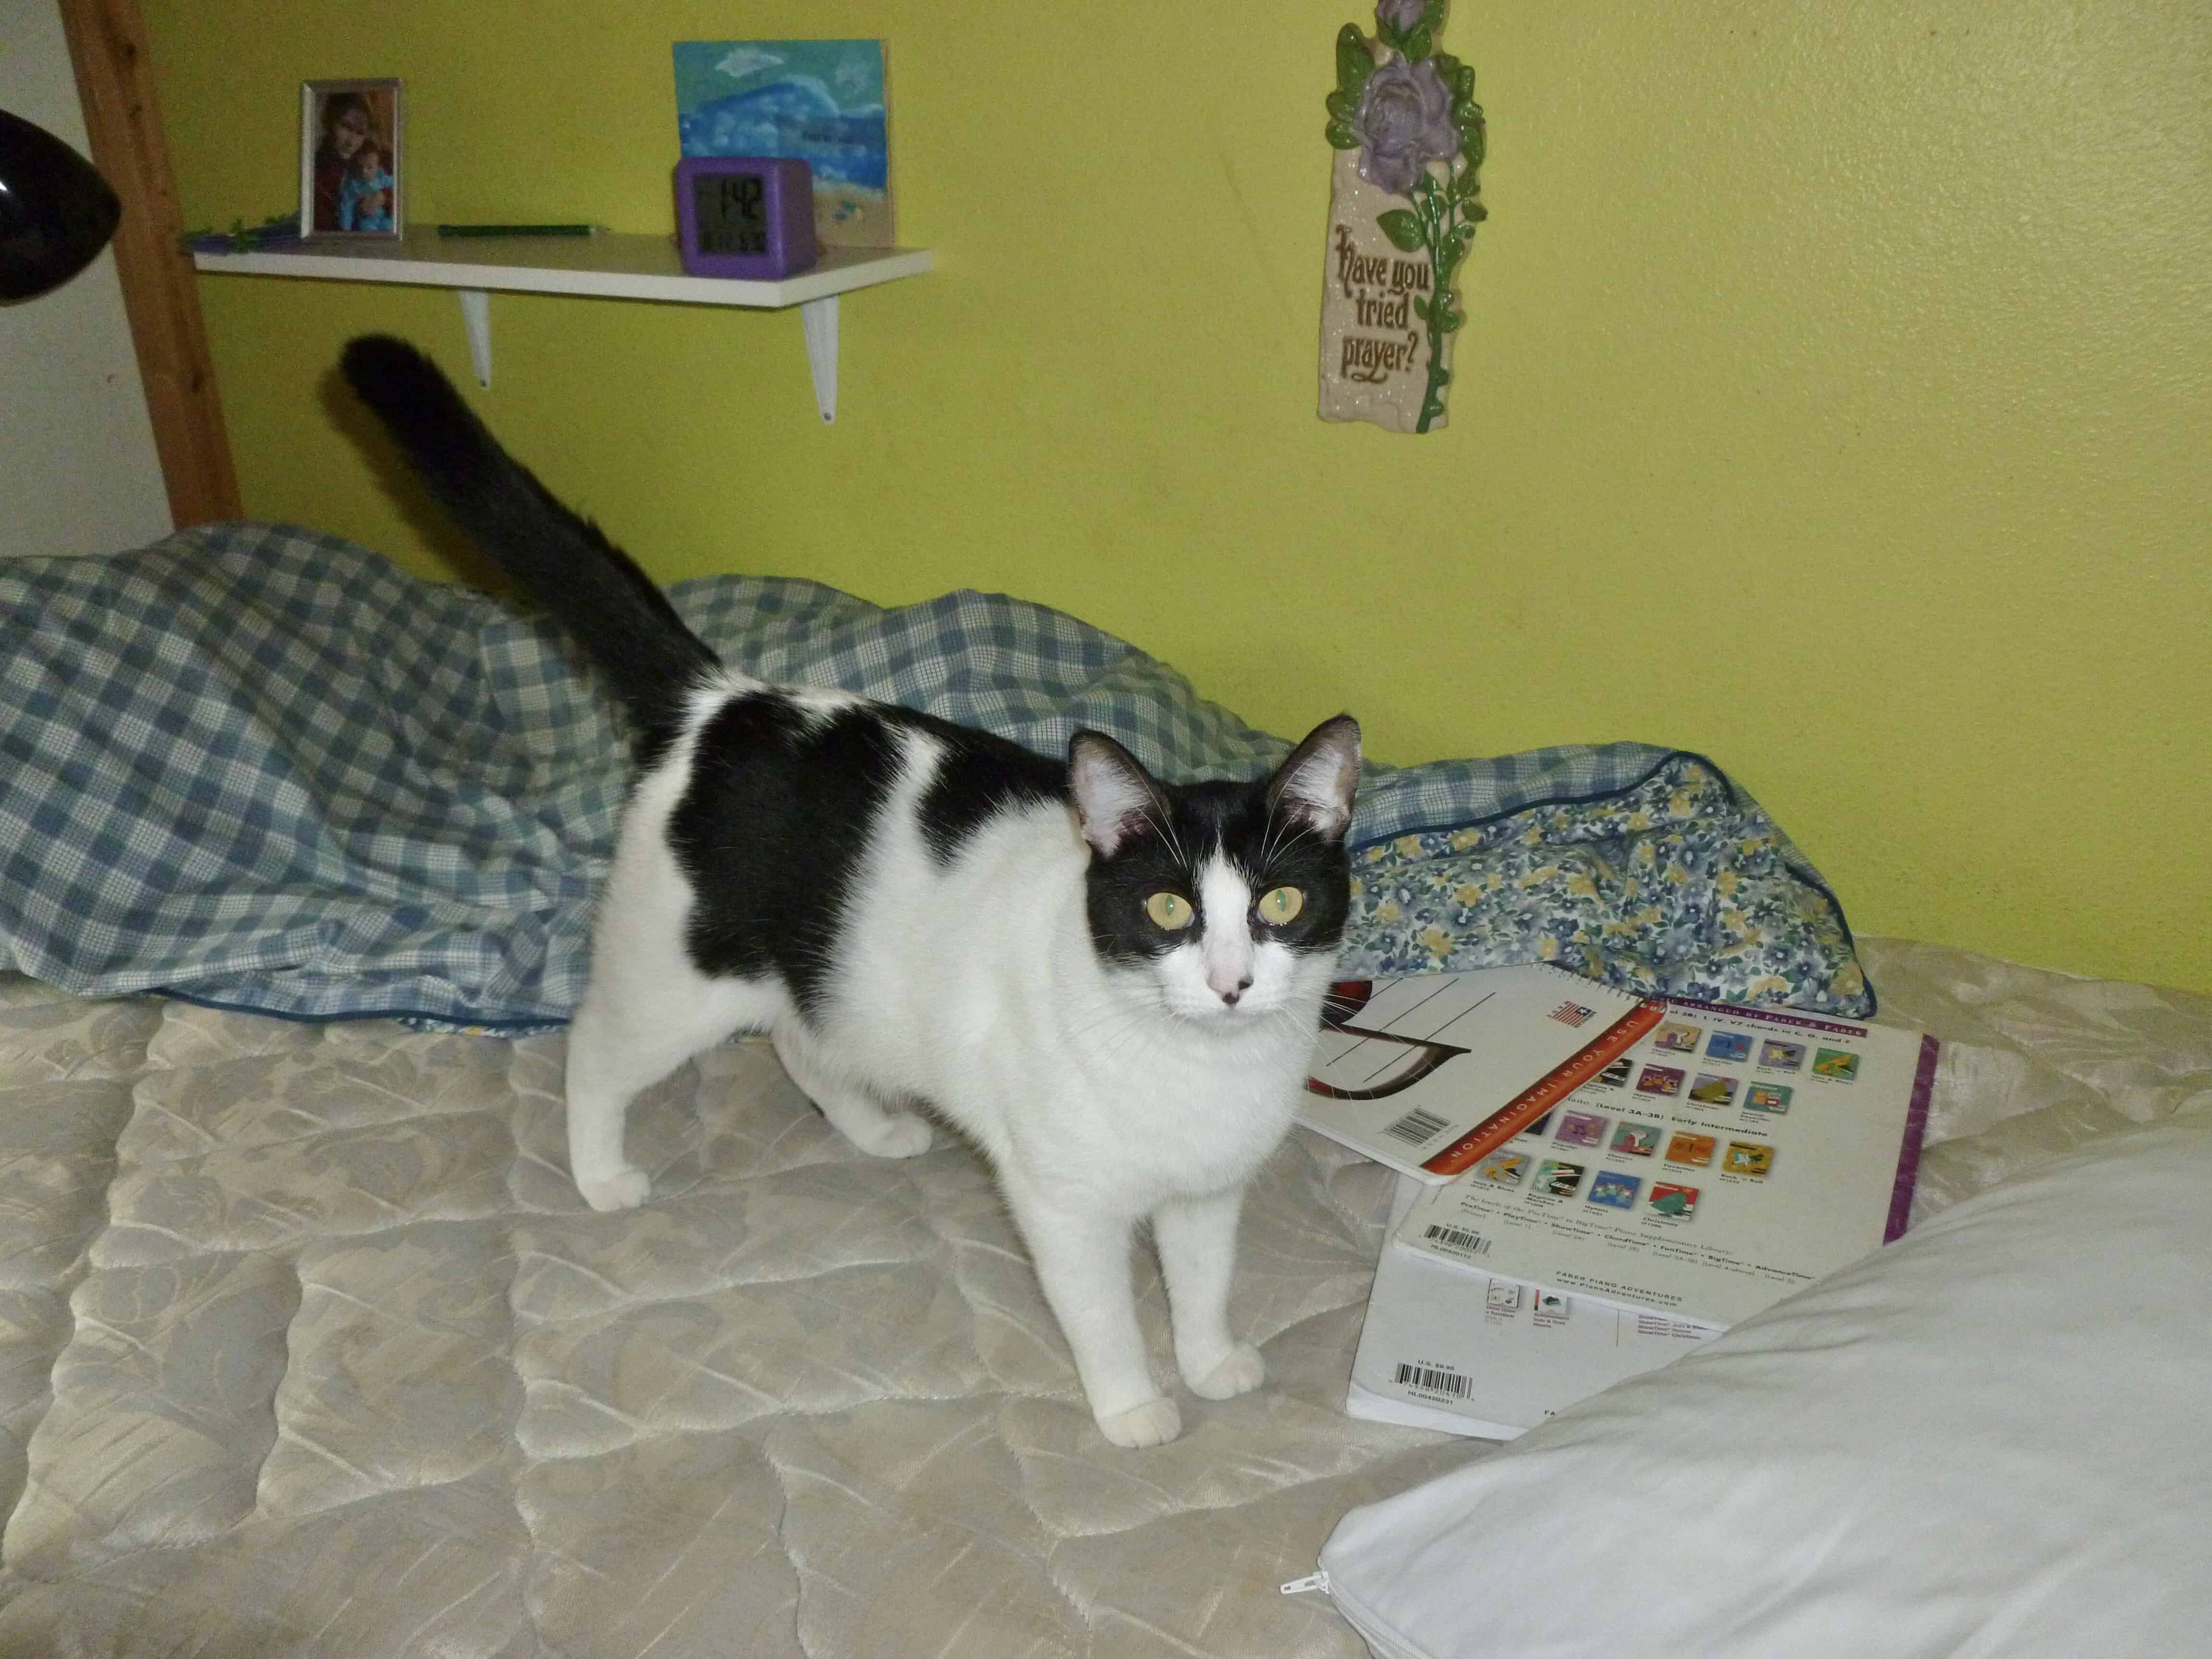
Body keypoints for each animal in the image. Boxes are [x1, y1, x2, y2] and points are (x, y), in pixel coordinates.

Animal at [340, 340, 1362, 1451]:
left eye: (1279, 906)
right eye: (1170, 909)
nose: (1230, 983)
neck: (1194, 1068)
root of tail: (727, 701)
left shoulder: (1207, 1193)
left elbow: (1203, 1280)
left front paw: (1209, 1360)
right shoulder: (1065, 1204)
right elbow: (1104, 1316)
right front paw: (1133, 1404)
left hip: (832, 975)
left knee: (800, 1039)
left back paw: (873, 1129)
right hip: (676, 977)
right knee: (596, 1050)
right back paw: (599, 1173)